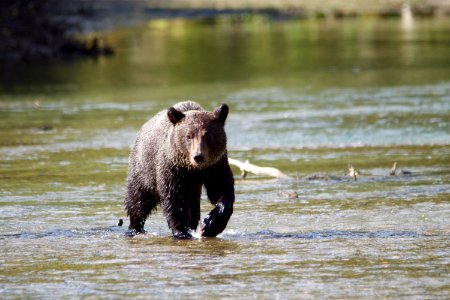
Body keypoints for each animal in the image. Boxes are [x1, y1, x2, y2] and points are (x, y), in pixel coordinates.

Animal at [124, 101, 234, 239]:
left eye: (208, 135)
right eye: (189, 136)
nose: (198, 156)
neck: (194, 169)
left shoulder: (215, 167)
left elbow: (221, 190)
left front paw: (210, 225)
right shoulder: (172, 169)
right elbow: (174, 199)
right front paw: (182, 232)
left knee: (193, 208)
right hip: (144, 169)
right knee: (138, 200)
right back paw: (134, 227)